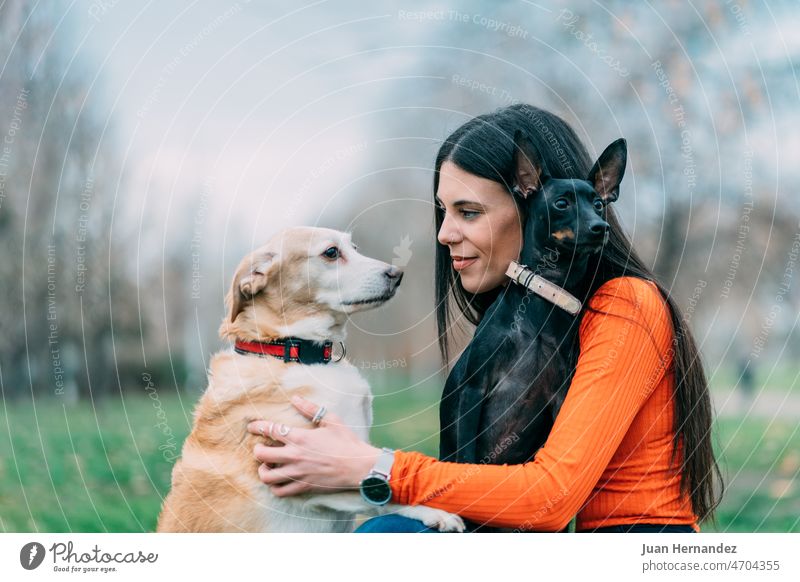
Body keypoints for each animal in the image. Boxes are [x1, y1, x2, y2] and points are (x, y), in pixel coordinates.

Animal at [157, 227, 466, 532]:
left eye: (354, 247)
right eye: (331, 252)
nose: (397, 273)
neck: (297, 352)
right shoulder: (300, 479)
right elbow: (380, 496)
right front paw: (435, 511)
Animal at [438, 129, 624, 492]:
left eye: (598, 204)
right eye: (562, 203)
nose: (601, 227)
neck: (544, 294)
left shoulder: (560, 397)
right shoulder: (473, 389)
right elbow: (466, 458)